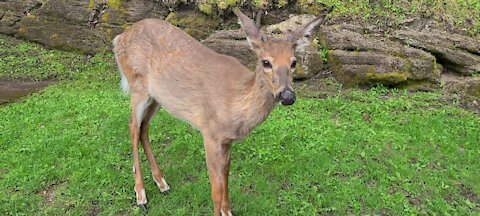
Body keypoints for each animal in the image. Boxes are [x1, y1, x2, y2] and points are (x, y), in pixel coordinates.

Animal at [112, 7, 332, 216]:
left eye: (294, 62)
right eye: (266, 62)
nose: (287, 96)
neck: (236, 104)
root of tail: (119, 38)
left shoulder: (227, 141)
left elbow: (226, 178)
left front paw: (228, 211)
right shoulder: (210, 133)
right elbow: (215, 191)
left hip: (158, 97)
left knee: (144, 128)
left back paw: (162, 183)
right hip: (137, 85)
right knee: (133, 127)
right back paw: (141, 196)